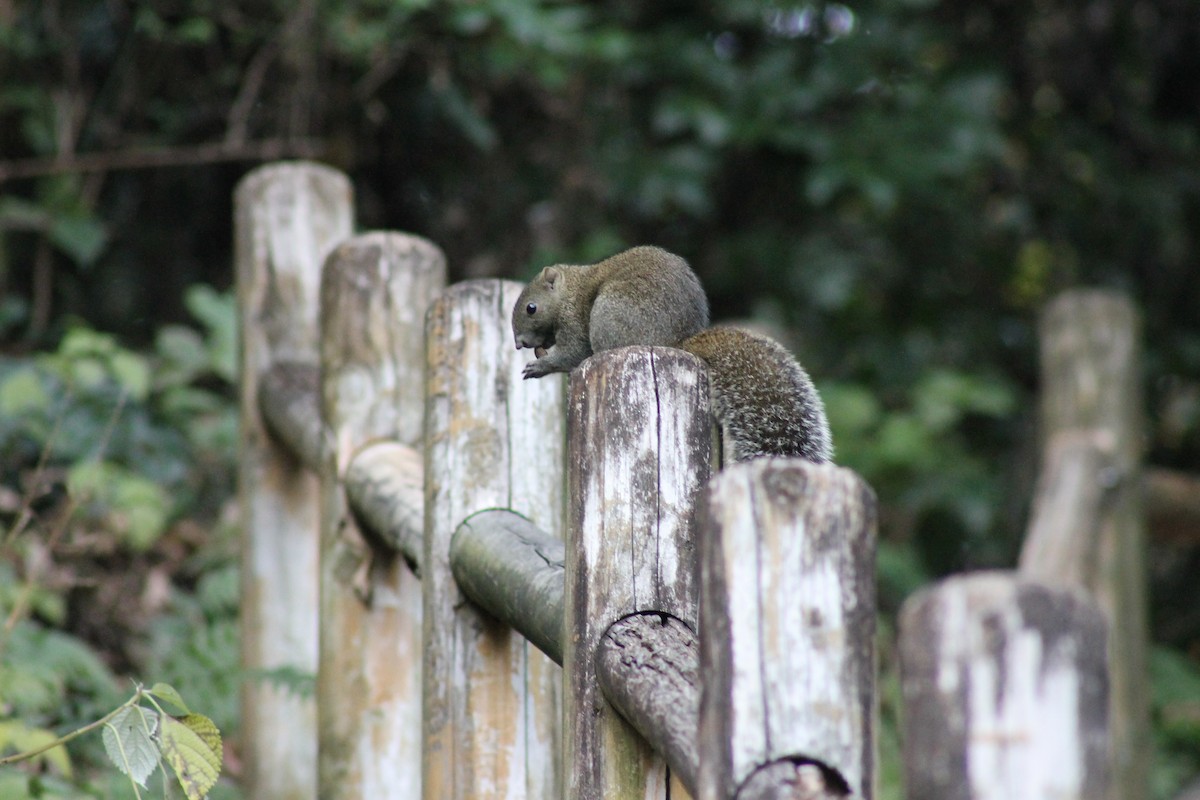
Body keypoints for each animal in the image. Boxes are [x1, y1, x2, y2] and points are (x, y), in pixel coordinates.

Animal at [511, 245, 832, 464]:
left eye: (531, 308)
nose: (519, 344)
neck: (569, 291)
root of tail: (677, 343)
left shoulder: (574, 320)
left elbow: (573, 353)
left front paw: (541, 365)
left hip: (609, 313)